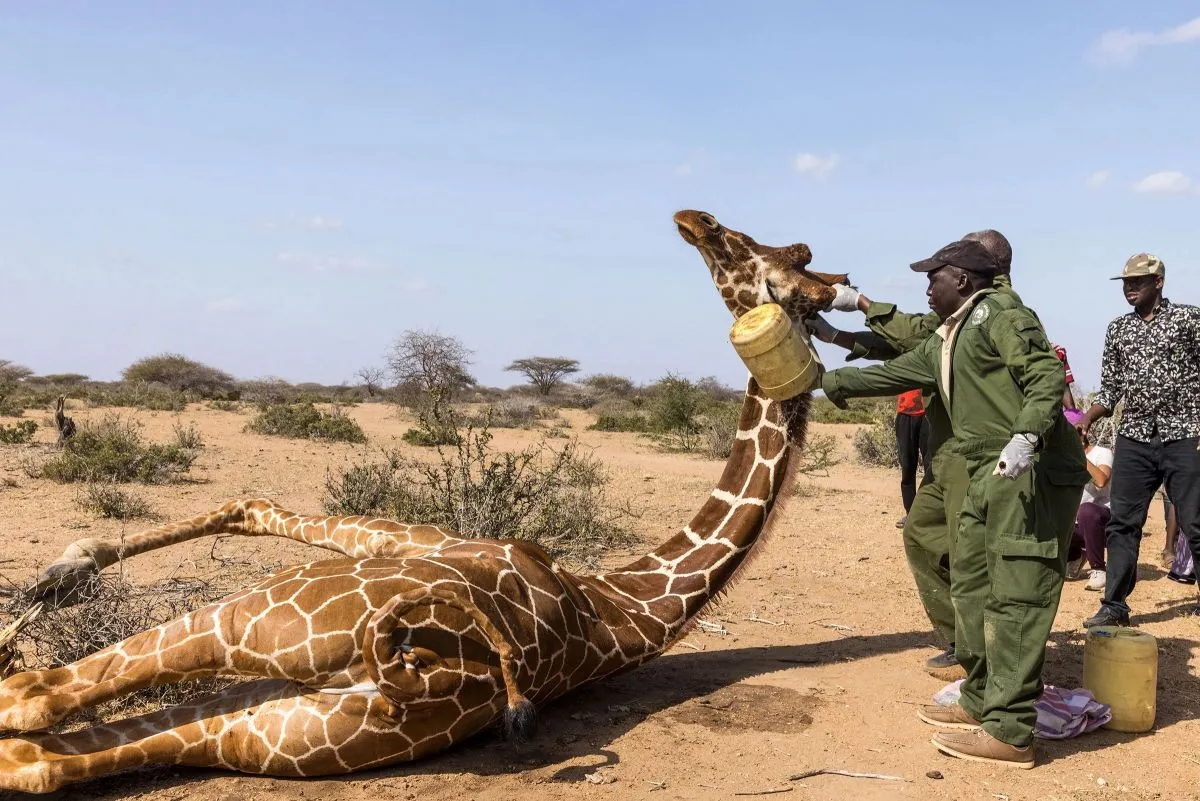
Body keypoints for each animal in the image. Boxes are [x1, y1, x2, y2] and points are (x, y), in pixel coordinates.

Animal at [0, 210, 847, 794]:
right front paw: (58, 576)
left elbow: (251, 501)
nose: (693, 219)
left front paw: (56, 574)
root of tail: (423, 675)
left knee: (34, 701)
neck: (626, 601)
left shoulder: (421, 540)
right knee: (35, 757)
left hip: (253, 629)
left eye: (749, 247)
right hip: (258, 725)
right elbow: (251, 502)